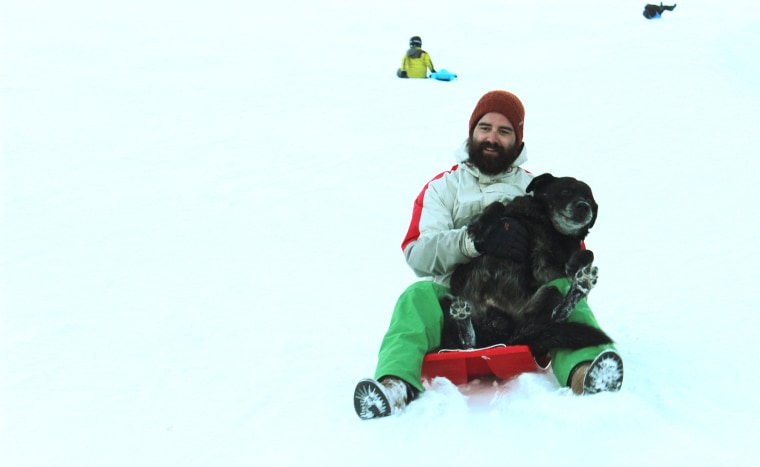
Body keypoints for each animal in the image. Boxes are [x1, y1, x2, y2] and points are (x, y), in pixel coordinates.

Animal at [440, 174, 612, 356]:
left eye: (590, 200)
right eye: (566, 191)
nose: (584, 207)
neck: (550, 225)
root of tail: (502, 333)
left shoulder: (548, 271)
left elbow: (589, 253)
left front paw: (577, 264)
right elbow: (497, 205)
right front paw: (479, 226)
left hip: (548, 294)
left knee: (557, 315)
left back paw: (581, 285)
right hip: (447, 304)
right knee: (465, 345)